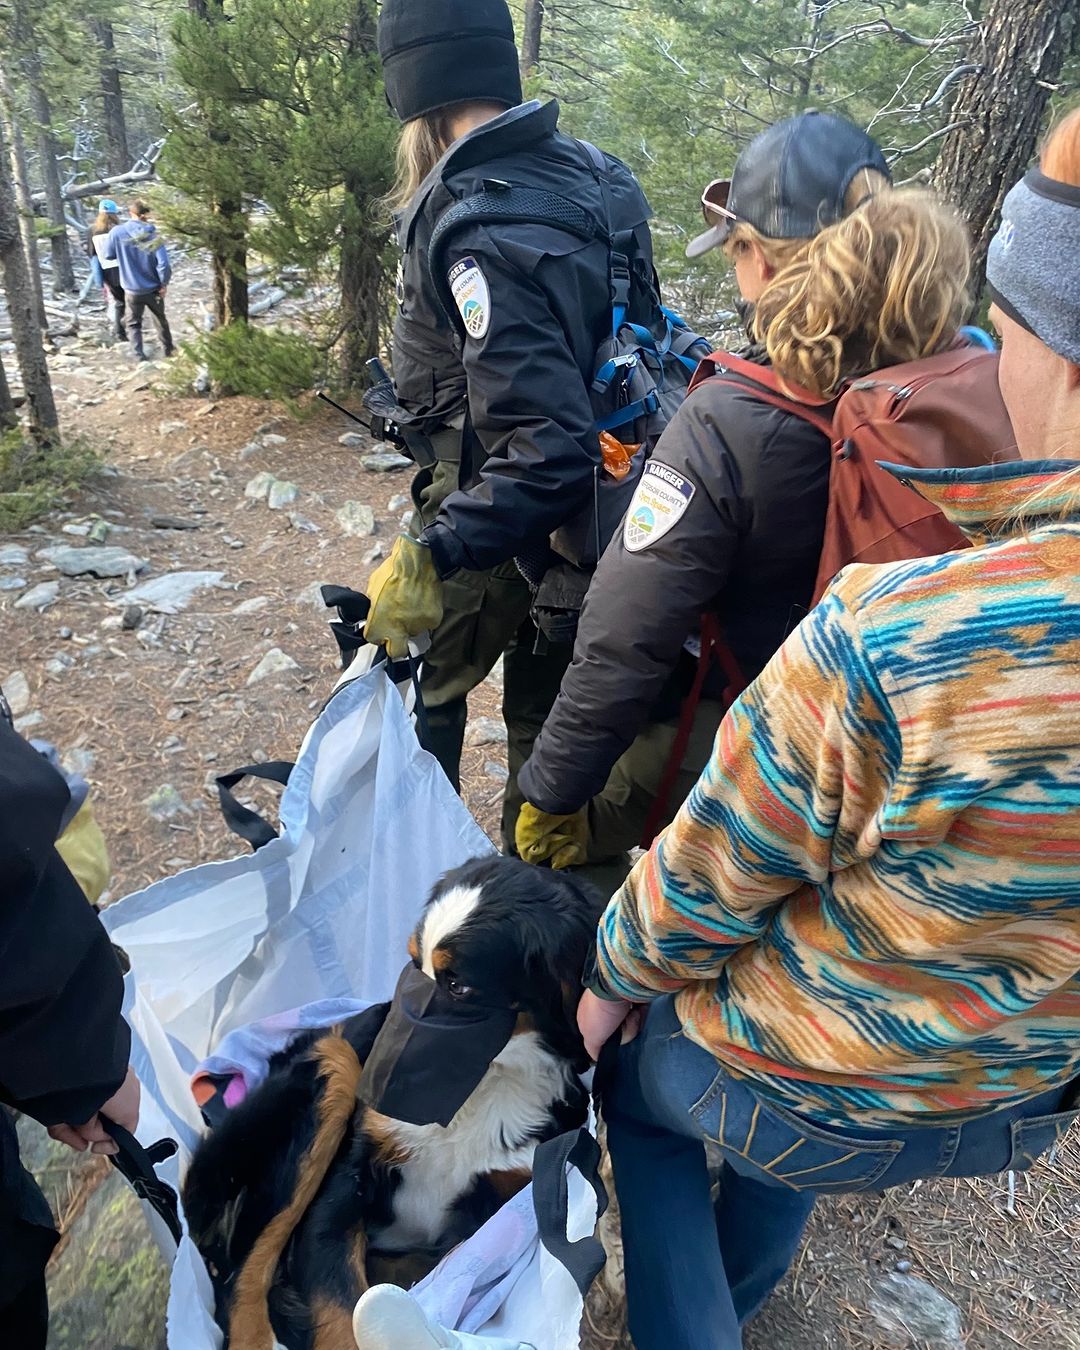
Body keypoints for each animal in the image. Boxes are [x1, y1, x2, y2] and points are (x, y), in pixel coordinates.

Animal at [180, 853, 602, 1350]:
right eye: (413, 964)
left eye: (457, 986)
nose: (386, 1065)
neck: (477, 1088)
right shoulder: (340, 1194)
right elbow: (341, 1310)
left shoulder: (500, 1200)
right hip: (335, 1064)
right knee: (240, 1274)